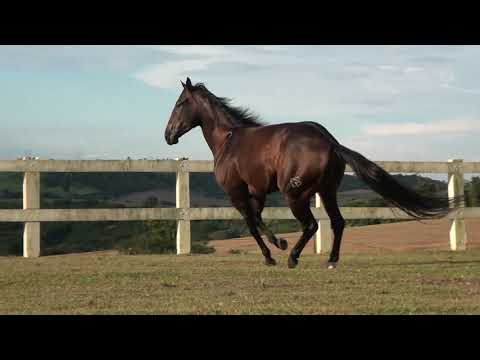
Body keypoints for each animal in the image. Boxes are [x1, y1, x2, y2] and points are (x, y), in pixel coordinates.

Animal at [164, 77, 458, 268]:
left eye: (179, 103)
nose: (168, 135)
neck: (228, 140)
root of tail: (329, 141)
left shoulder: (236, 194)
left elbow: (252, 224)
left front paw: (273, 253)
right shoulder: (257, 192)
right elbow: (258, 219)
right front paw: (277, 246)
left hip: (296, 195)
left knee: (312, 225)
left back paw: (293, 258)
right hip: (326, 192)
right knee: (337, 222)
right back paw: (331, 260)